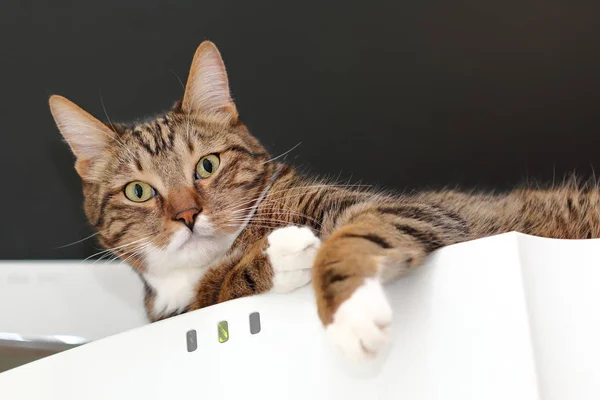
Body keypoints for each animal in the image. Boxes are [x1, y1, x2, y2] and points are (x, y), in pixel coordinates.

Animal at [50, 40, 600, 362]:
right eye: (139, 191)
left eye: (206, 165)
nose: (187, 215)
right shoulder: (172, 311)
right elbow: (219, 290)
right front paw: (272, 260)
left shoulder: (416, 210)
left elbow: (358, 234)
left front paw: (346, 307)